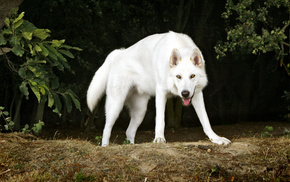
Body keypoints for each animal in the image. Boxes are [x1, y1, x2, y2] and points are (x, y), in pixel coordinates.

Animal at [86, 31, 231, 146]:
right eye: (178, 76)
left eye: (192, 76)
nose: (184, 93)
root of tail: (118, 53)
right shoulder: (161, 92)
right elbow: (160, 120)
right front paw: (159, 139)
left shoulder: (197, 94)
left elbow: (205, 121)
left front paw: (216, 139)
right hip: (116, 106)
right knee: (106, 129)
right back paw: (105, 146)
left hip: (140, 112)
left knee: (129, 131)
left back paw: (131, 145)